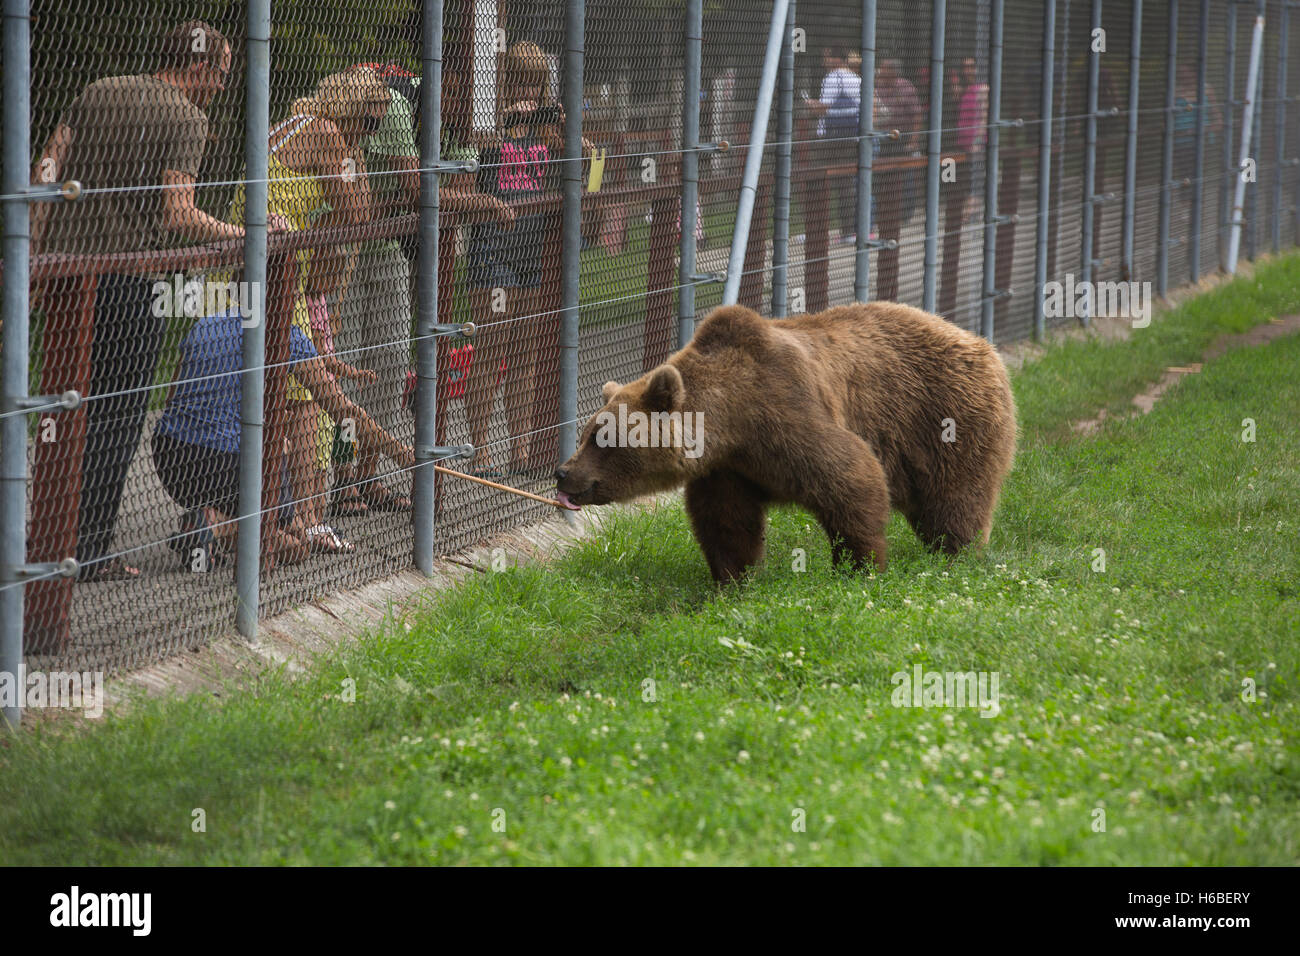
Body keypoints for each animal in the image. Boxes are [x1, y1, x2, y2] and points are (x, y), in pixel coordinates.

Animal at [553, 303, 1019, 582]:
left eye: (602, 437)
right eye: (587, 432)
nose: (562, 472)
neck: (732, 420)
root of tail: (977, 340)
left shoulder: (787, 412)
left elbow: (852, 477)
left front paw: (860, 566)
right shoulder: (728, 468)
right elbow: (726, 523)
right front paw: (733, 580)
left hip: (947, 415)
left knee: (956, 499)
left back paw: (957, 554)